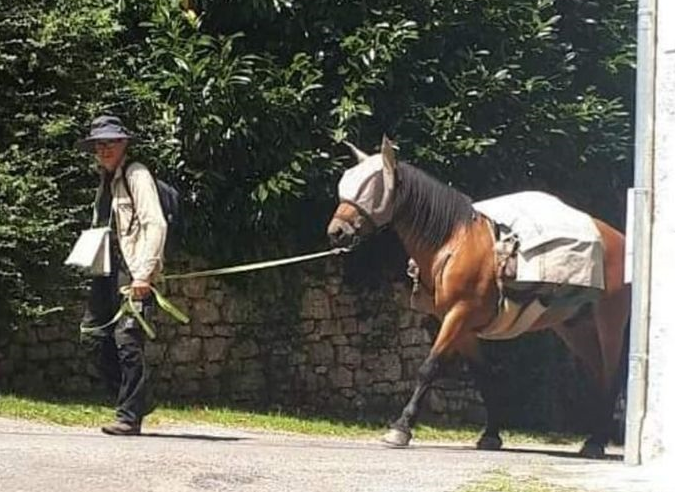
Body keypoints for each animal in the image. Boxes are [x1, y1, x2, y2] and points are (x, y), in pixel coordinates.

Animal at [328, 135, 632, 458]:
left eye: (371, 185)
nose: (337, 232)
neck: (453, 242)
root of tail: (621, 240)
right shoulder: (460, 325)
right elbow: (483, 376)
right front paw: (491, 435)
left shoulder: (459, 314)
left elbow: (429, 368)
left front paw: (400, 428)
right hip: (576, 328)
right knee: (599, 374)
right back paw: (592, 439)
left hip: (609, 323)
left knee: (612, 375)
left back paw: (597, 442)